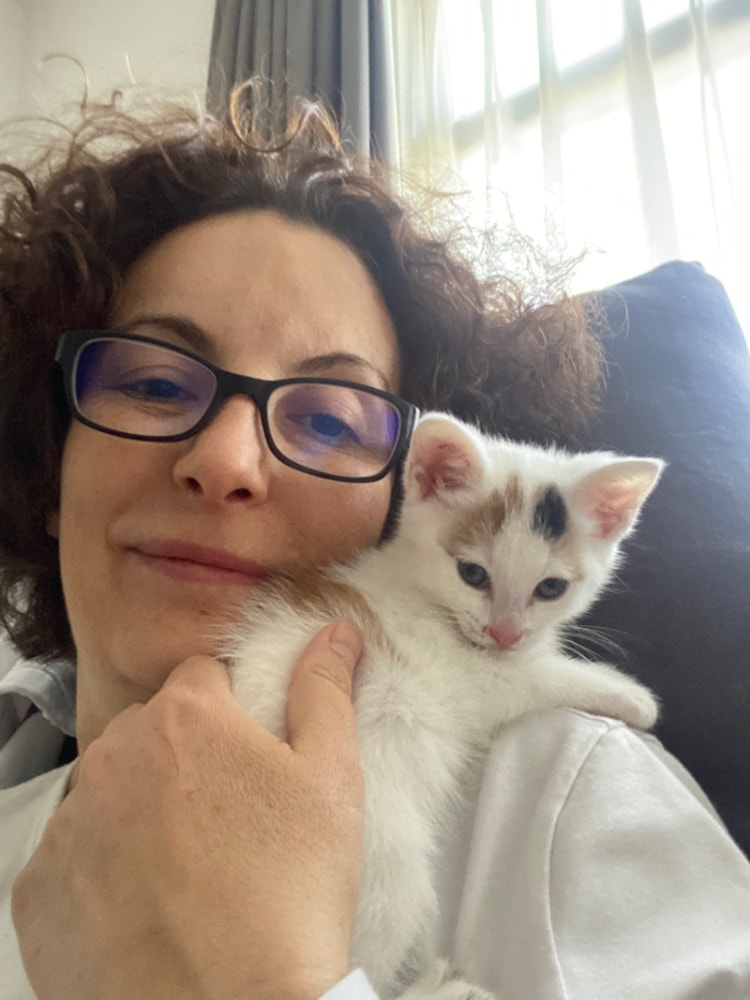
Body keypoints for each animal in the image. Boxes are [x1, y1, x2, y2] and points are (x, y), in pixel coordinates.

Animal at [224, 411, 664, 1000]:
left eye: (550, 588)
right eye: (473, 575)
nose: (505, 633)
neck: (428, 599)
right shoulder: (476, 678)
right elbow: (539, 676)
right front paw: (630, 696)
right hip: (384, 858)